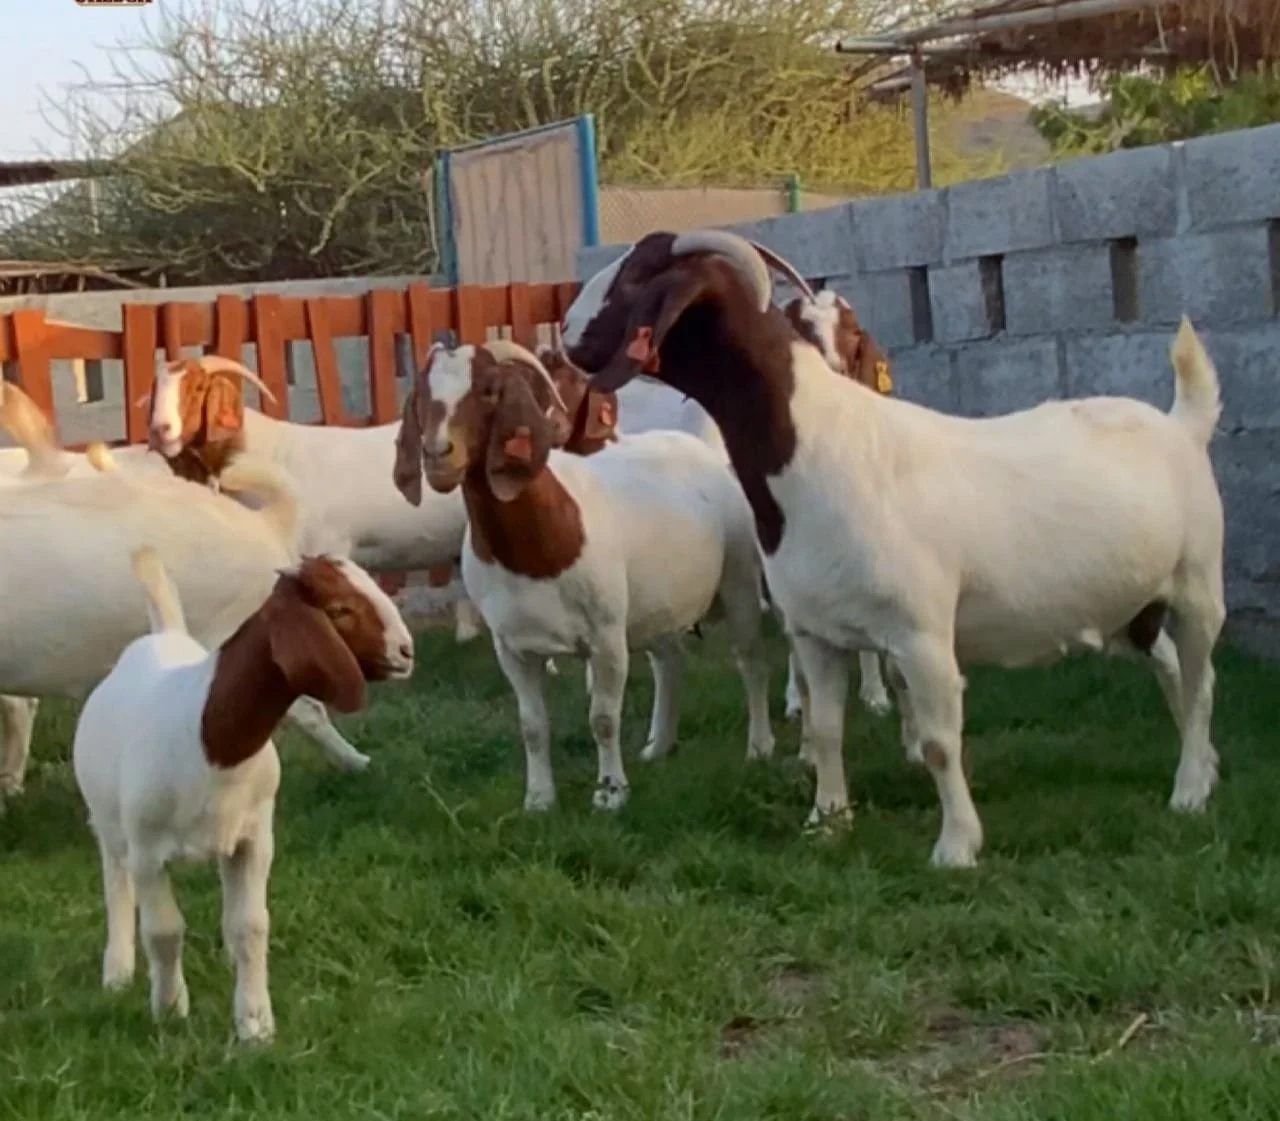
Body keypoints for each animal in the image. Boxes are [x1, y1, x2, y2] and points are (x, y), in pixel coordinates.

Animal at [74, 545, 412, 1041]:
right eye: (340, 610)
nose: (406, 652)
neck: (210, 741)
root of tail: (163, 636)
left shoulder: (253, 839)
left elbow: (249, 927)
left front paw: (254, 1025)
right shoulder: (148, 851)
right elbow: (163, 931)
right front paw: (170, 1009)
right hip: (110, 824)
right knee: (116, 883)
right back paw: (117, 971)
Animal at [393, 340, 774, 811]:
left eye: (488, 391)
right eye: (421, 396)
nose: (438, 455)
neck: (536, 553)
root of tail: (700, 450)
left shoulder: (606, 636)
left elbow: (604, 718)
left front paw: (610, 792)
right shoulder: (512, 647)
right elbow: (532, 724)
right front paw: (539, 799)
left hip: (739, 578)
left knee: (751, 660)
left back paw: (760, 747)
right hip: (657, 603)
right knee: (670, 661)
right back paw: (660, 745)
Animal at [561, 229, 1225, 868]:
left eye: (639, 275)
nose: (565, 330)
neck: (815, 446)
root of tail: (1180, 425)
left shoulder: (921, 634)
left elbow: (937, 743)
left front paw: (957, 847)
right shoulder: (816, 633)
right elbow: (827, 727)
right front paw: (827, 822)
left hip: (1197, 584)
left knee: (1201, 680)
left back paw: (1189, 790)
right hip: (1131, 605)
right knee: (1171, 665)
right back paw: (1205, 766)